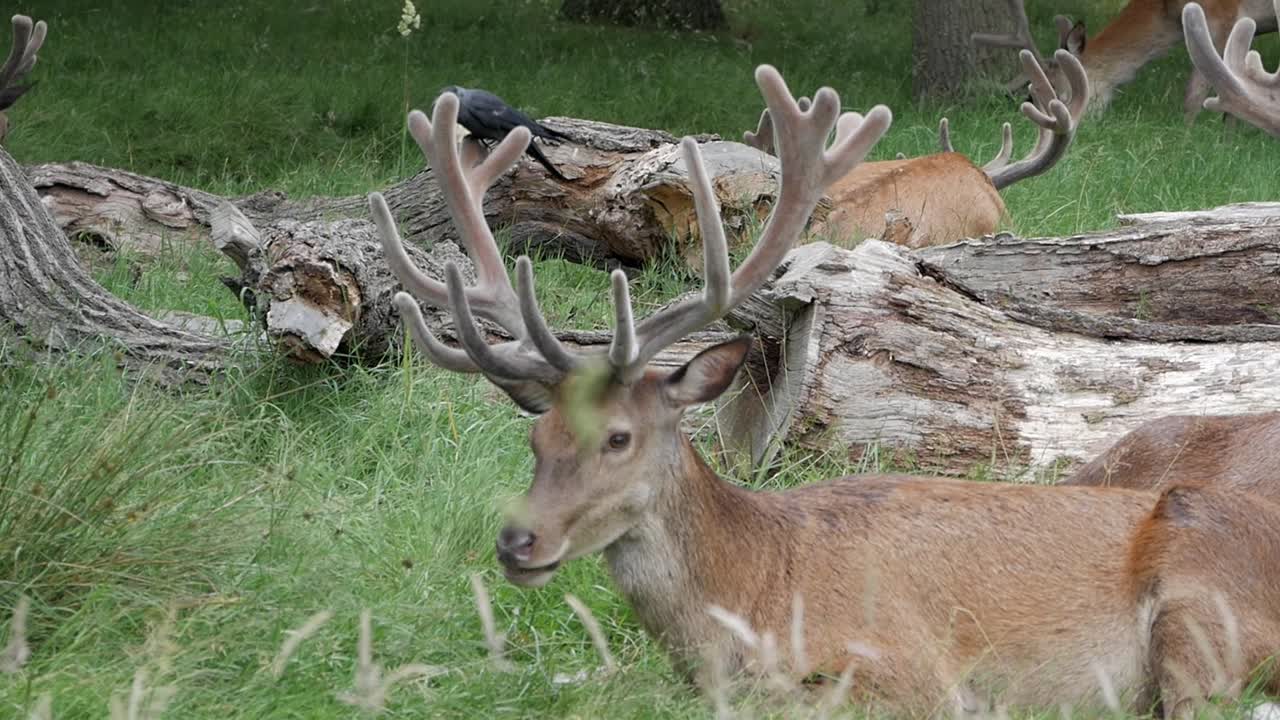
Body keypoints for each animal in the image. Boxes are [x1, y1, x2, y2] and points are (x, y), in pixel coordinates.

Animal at [973, 0, 1277, 123]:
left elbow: (1197, 93)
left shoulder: (1223, 15)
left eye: (1056, 92)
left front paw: (1185, 142)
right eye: (1030, 94)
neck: (1167, 13)